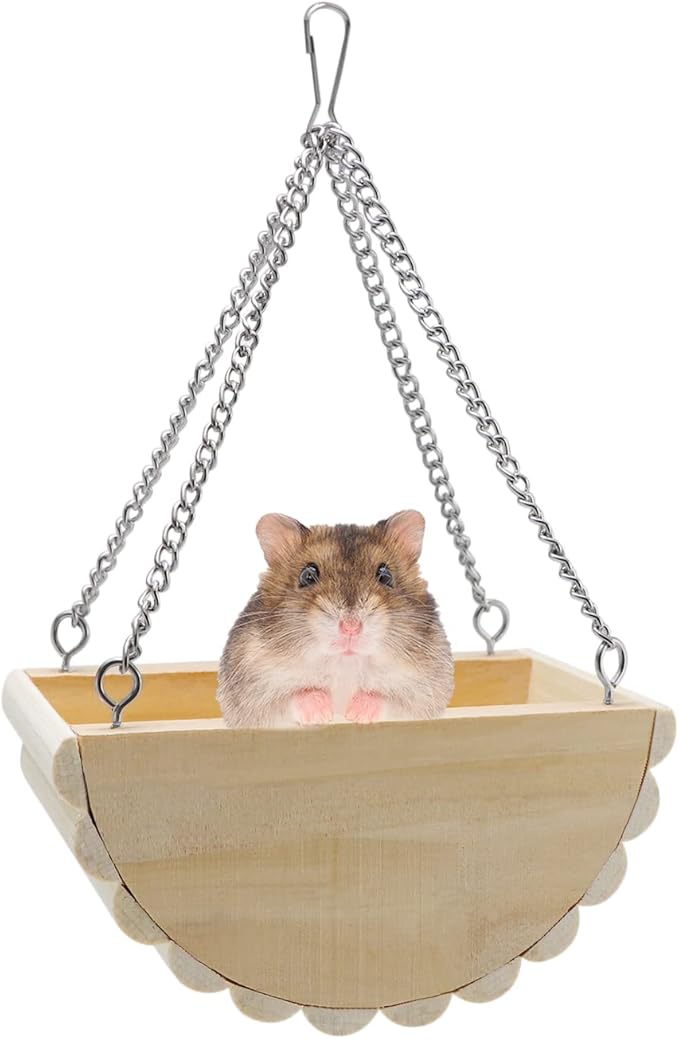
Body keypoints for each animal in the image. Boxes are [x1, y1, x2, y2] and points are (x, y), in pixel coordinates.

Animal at [216, 510, 454, 728]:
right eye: (307, 575)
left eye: (386, 575)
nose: (350, 627)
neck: (344, 663)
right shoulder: (254, 694)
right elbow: (291, 697)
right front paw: (322, 715)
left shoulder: (424, 693)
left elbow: (390, 699)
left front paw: (355, 715)